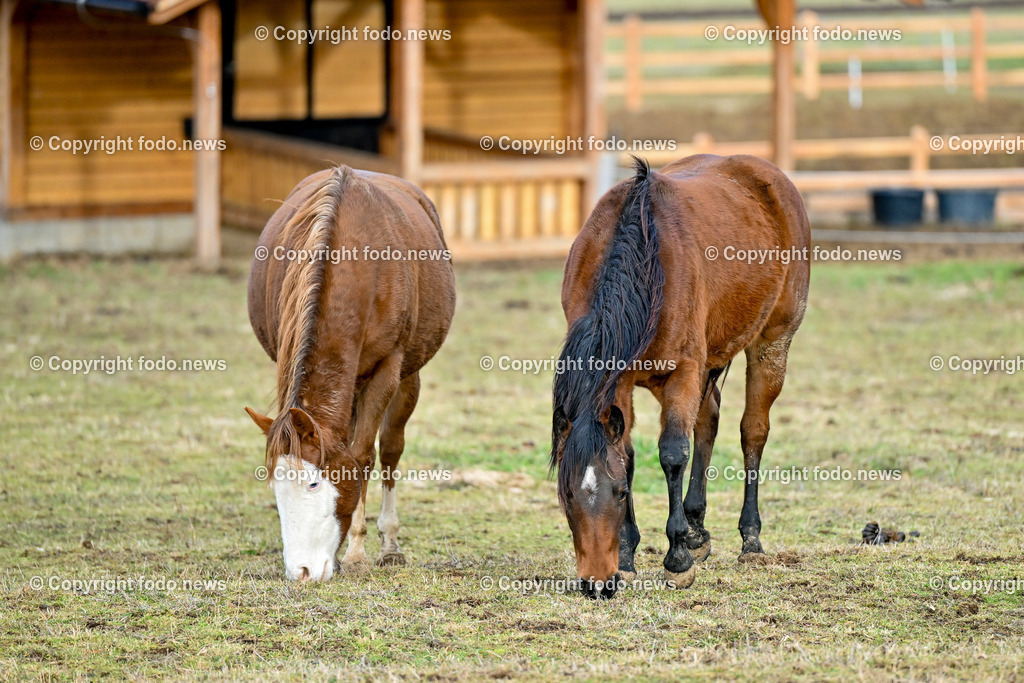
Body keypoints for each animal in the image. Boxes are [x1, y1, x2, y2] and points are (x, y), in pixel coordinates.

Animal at [245, 165, 455, 581]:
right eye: (276, 487)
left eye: (314, 483)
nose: (303, 571)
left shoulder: (387, 370)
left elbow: (362, 457)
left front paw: (357, 552)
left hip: (406, 376)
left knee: (389, 448)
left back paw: (389, 543)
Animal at [552, 155, 810, 599]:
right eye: (567, 495)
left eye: (619, 494)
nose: (598, 584)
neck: (643, 261)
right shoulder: (620, 381)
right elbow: (629, 454)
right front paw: (629, 557)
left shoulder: (684, 371)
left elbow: (673, 453)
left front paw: (677, 558)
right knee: (708, 421)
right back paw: (697, 530)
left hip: (772, 342)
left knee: (753, 432)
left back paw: (750, 541)